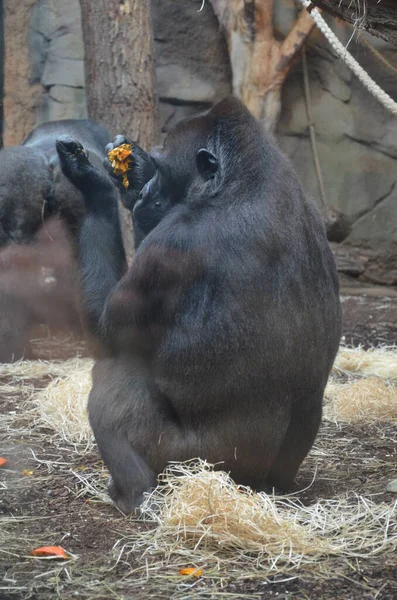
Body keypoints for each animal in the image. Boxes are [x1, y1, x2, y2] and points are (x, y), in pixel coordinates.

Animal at [55, 97, 340, 510]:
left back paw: (134, 492)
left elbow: (105, 336)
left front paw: (92, 184)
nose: (146, 192)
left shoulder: (169, 246)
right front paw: (131, 170)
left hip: (194, 464)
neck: (244, 180)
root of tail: (251, 488)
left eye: (166, 170)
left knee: (115, 375)